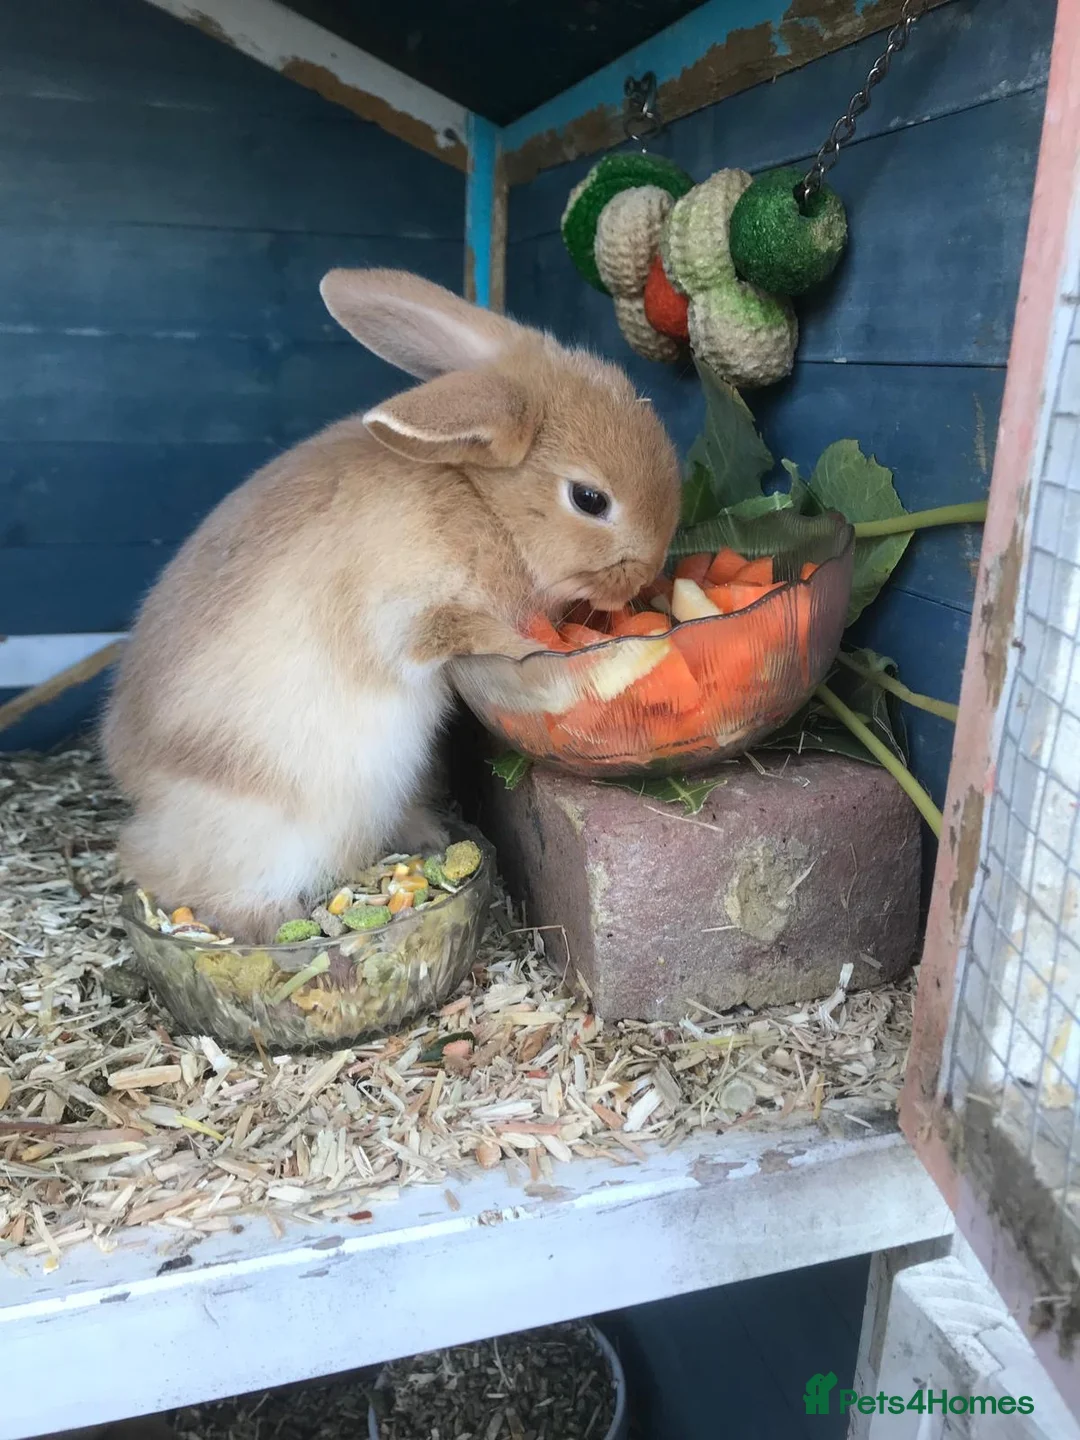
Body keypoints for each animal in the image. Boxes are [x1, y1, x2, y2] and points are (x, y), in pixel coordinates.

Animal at [102, 269, 681, 943]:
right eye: (590, 499)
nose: (651, 570)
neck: (479, 498)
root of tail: (142, 804)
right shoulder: (405, 613)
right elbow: (456, 630)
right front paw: (531, 646)